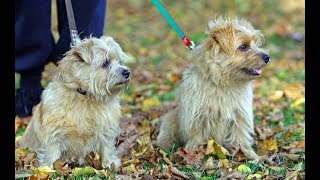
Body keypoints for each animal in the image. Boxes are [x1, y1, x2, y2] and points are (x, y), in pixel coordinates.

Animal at [15, 35, 131, 169]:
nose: (127, 72)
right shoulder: (54, 134)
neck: (86, 97)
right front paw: (48, 169)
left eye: (120, 62)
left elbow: (107, 147)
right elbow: (52, 153)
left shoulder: (107, 130)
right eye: (105, 63)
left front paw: (109, 164)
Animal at [155, 16, 270, 160]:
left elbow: (241, 139)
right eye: (243, 47)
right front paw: (191, 154)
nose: (267, 57)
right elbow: (196, 138)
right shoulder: (198, 118)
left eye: (256, 44)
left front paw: (252, 156)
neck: (223, 84)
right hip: (170, 118)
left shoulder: (239, 117)